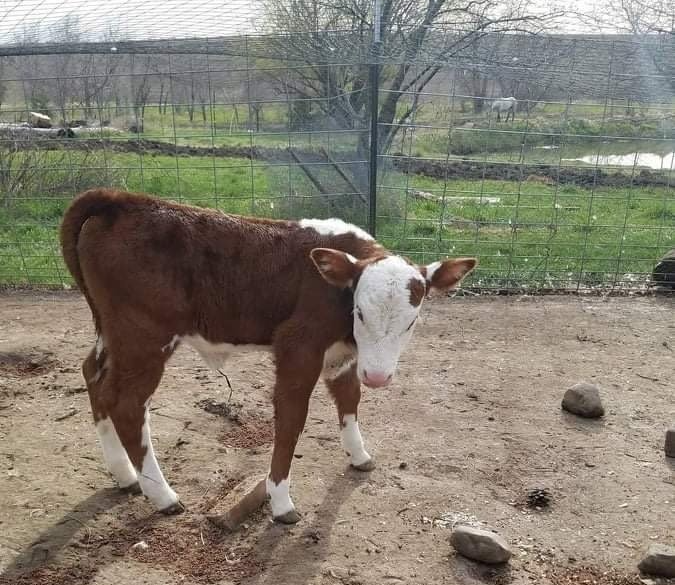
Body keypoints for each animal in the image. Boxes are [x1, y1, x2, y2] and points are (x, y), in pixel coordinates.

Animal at [60, 189, 477, 523]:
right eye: (359, 312)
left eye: (412, 321)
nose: (377, 376)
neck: (335, 290)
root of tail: (121, 199)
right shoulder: (298, 346)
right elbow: (291, 422)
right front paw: (280, 501)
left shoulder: (342, 355)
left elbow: (349, 400)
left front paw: (359, 455)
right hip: (144, 337)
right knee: (128, 404)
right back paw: (162, 495)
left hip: (113, 333)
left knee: (94, 377)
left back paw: (124, 475)